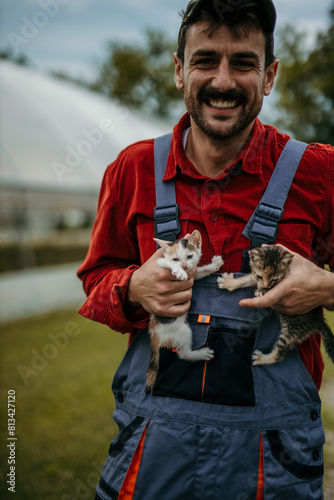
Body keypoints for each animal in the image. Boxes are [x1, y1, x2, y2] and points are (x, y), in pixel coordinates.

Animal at [145, 229, 223, 392]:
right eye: (175, 258)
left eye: (189, 256)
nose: (184, 264)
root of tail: (155, 334)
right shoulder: (159, 262)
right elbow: (166, 262)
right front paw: (179, 271)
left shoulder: (194, 272)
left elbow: (200, 271)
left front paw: (213, 265)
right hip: (182, 330)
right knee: (184, 354)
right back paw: (201, 353)